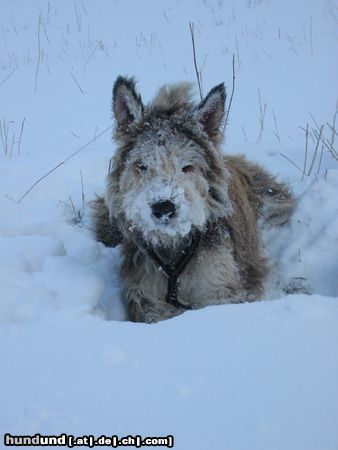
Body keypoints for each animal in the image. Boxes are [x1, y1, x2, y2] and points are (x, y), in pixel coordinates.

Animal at [91, 77, 294, 324]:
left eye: (187, 167)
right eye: (142, 166)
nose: (164, 207)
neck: (173, 250)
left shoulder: (220, 286)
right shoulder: (148, 297)